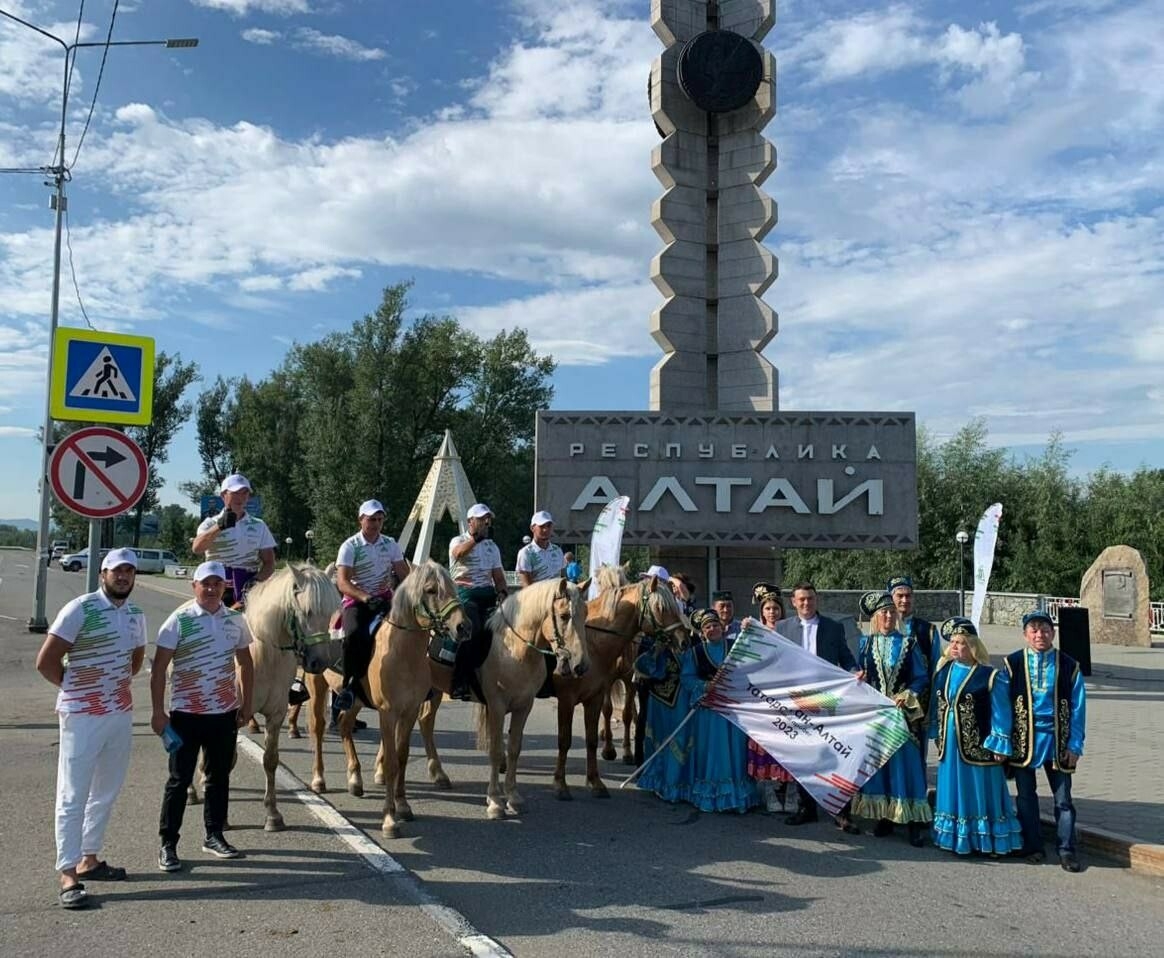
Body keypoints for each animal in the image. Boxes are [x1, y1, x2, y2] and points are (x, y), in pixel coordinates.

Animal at [302, 561, 470, 838]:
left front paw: (403, 806)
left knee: (345, 724)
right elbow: (391, 762)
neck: (402, 653)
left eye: (454, 587)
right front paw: (389, 819)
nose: (463, 627)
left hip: (356, 700)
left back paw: (355, 779)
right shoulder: (388, 712)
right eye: (431, 590)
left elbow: (401, 757)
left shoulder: (409, 711)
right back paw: (319, 779)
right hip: (317, 686)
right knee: (317, 728)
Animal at [472, 572, 591, 819]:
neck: (513, 649)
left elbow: (514, 749)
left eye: (585, 614)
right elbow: (496, 750)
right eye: (564, 616)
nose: (581, 666)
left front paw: (513, 798)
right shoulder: (496, 705)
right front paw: (495, 802)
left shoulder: (523, 705)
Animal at [549, 570, 684, 800]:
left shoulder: (601, 693)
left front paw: (597, 781)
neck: (591, 641)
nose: (685, 640)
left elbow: (595, 736)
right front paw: (560, 784)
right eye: (661, 608)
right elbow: (565, 739)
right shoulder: (567, 699)